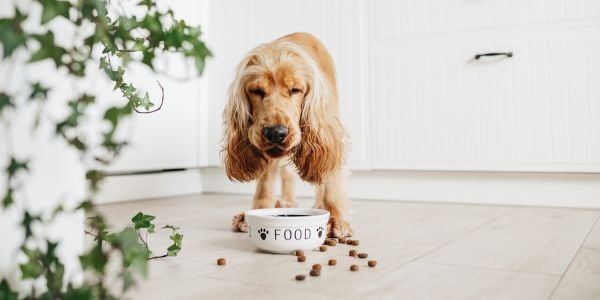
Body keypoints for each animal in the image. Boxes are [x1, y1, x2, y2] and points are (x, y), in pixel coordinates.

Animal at [221, 32, 352, 238]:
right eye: (256, 91)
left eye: (295, 90)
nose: (276, 133)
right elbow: (265, 182)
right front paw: (258, 211)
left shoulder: (331, 133)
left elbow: (332, 178)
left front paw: (337, 219)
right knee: (286, 174)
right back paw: (287, 201)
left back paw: (319, 204)